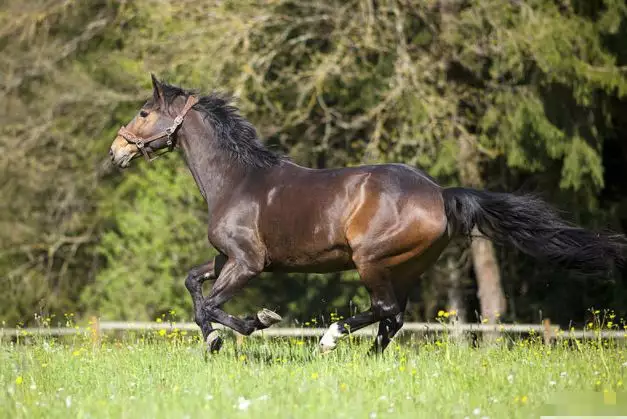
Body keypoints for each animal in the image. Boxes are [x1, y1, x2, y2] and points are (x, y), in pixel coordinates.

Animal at [109, 75, 627, 354]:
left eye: (143, 113)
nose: (116, 152)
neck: (237, 179)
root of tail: (440, 193)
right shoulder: (225, 259)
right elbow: (193, 287)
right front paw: (214, 339)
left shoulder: (248, 263)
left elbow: (213, 305)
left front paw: (254, 323)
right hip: (409, 265)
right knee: (393, 320)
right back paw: (368, 357)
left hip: (372, 260)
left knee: (384, 310)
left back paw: (330, 339)